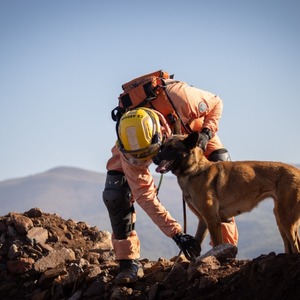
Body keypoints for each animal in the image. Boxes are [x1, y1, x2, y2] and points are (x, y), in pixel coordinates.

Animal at [154, 132, 300, 254]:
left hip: (286, 219)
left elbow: (217, 244)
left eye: (172, 148)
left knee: (295, 246)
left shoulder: (213, 220)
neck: (194, 171)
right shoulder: (204, 221)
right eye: (162, 147)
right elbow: (195, 245)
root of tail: (297, 170)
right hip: (280, 218)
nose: (155, 159)